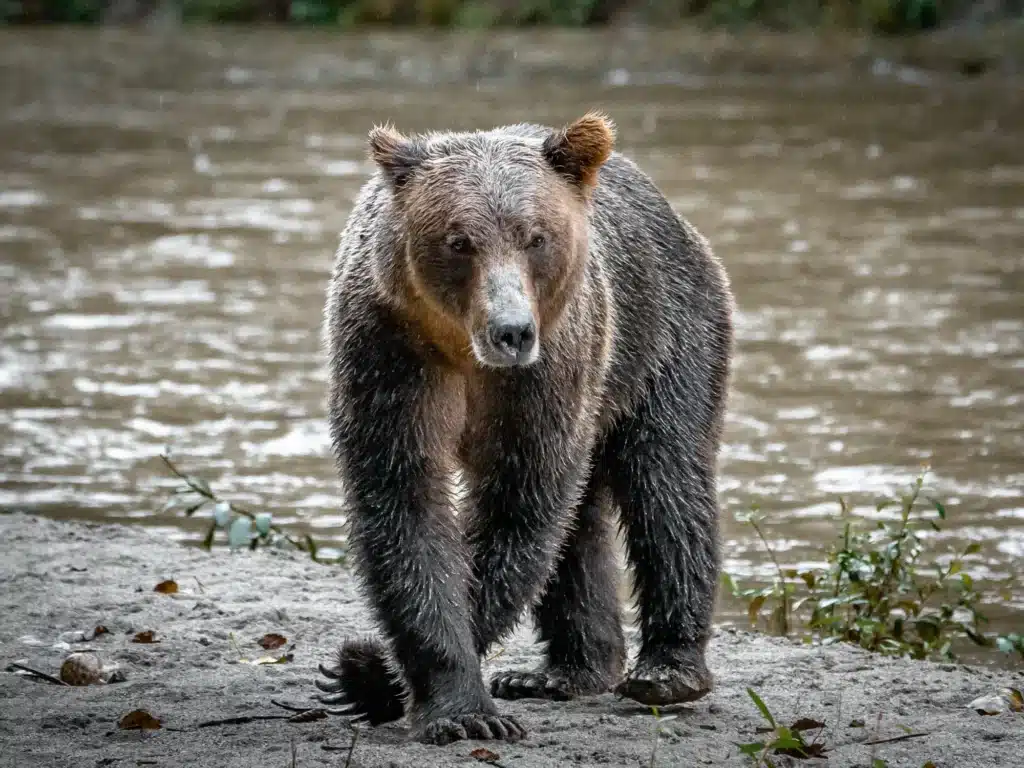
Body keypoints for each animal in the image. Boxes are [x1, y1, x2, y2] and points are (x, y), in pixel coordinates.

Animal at [315, 111, 733, 749]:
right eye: (459, 241)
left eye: (536, 236)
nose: (511, 331)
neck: (462, 351)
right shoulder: (389, 353)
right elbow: (405, 502)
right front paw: (453, 704)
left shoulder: (546, 375)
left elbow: (519, 506)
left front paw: (373, 673)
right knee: (581, 523)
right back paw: (564, 671)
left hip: (665, 336)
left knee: (666, 481)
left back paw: (667, 671)